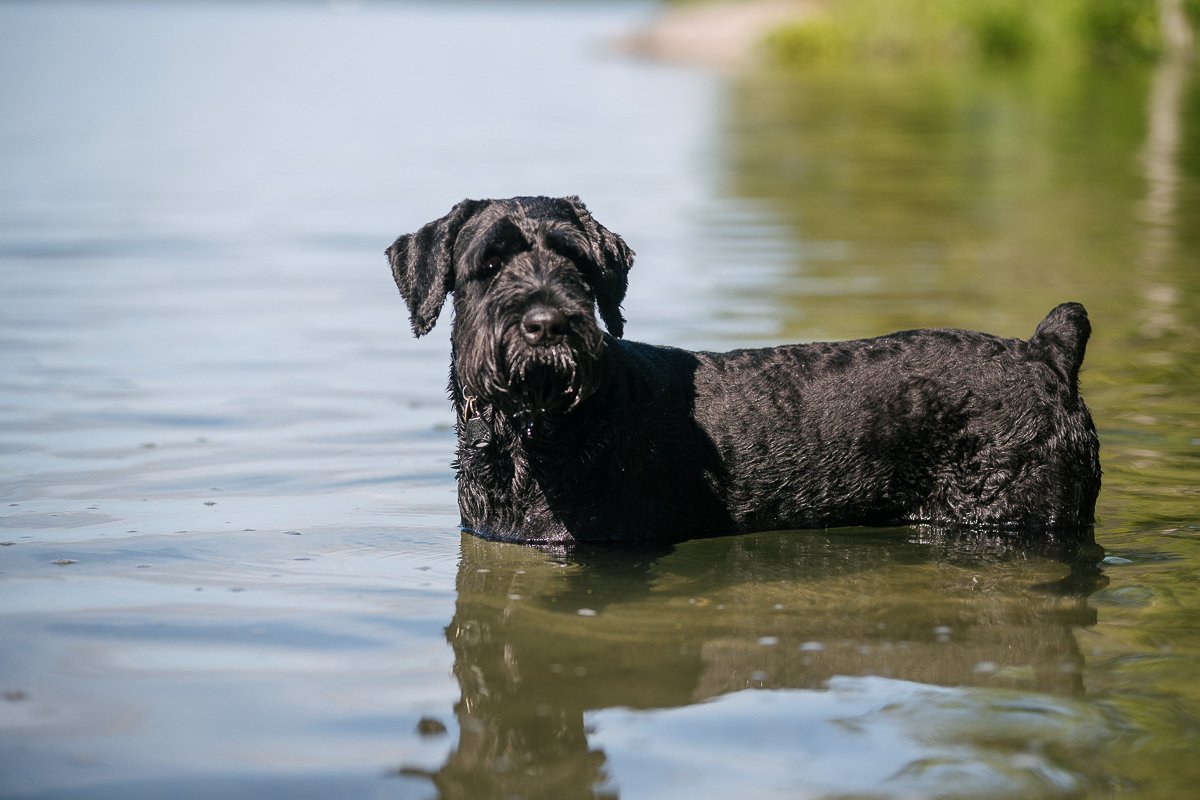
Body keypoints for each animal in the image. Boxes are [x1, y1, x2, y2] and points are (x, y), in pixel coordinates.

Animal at [388, 196, 1099, 544]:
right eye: (489, 262)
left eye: (579, 264)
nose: (545, 324)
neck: (532, 436)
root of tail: (1046, 353)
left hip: (1022, 514)